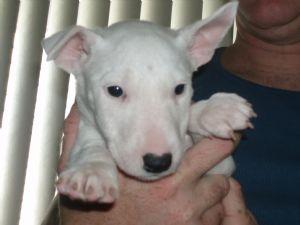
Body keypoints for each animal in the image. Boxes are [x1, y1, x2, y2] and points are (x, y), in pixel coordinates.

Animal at [42, 1, 255, 202]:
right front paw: (91, 171)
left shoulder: (223, 168)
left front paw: (216, 110)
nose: (158, 162)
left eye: (180, 88)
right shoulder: (86, 122)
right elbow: (90, 143)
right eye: (115, 91)